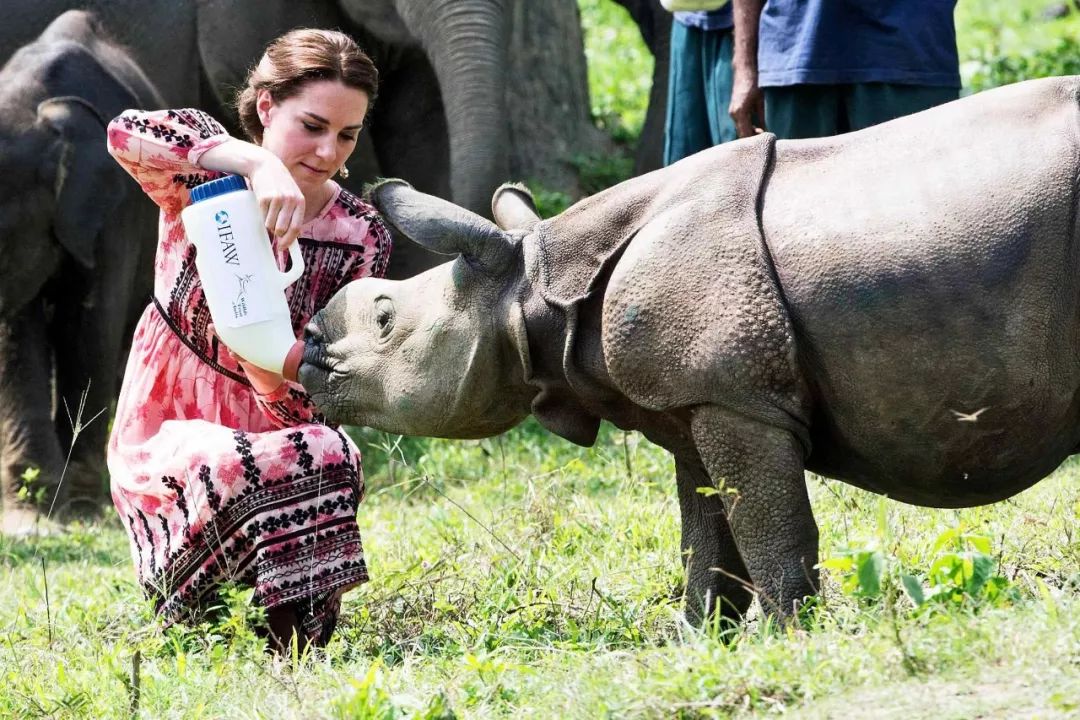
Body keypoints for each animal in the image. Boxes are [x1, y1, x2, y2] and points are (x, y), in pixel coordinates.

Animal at [300, 74, 1080, 626]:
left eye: (384, 317)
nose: (306, 343)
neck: (533, 288)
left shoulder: (736, 396)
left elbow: (767, 525)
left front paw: (791, 636)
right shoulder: (691, 397)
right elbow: (706, 531)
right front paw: (699, 637)